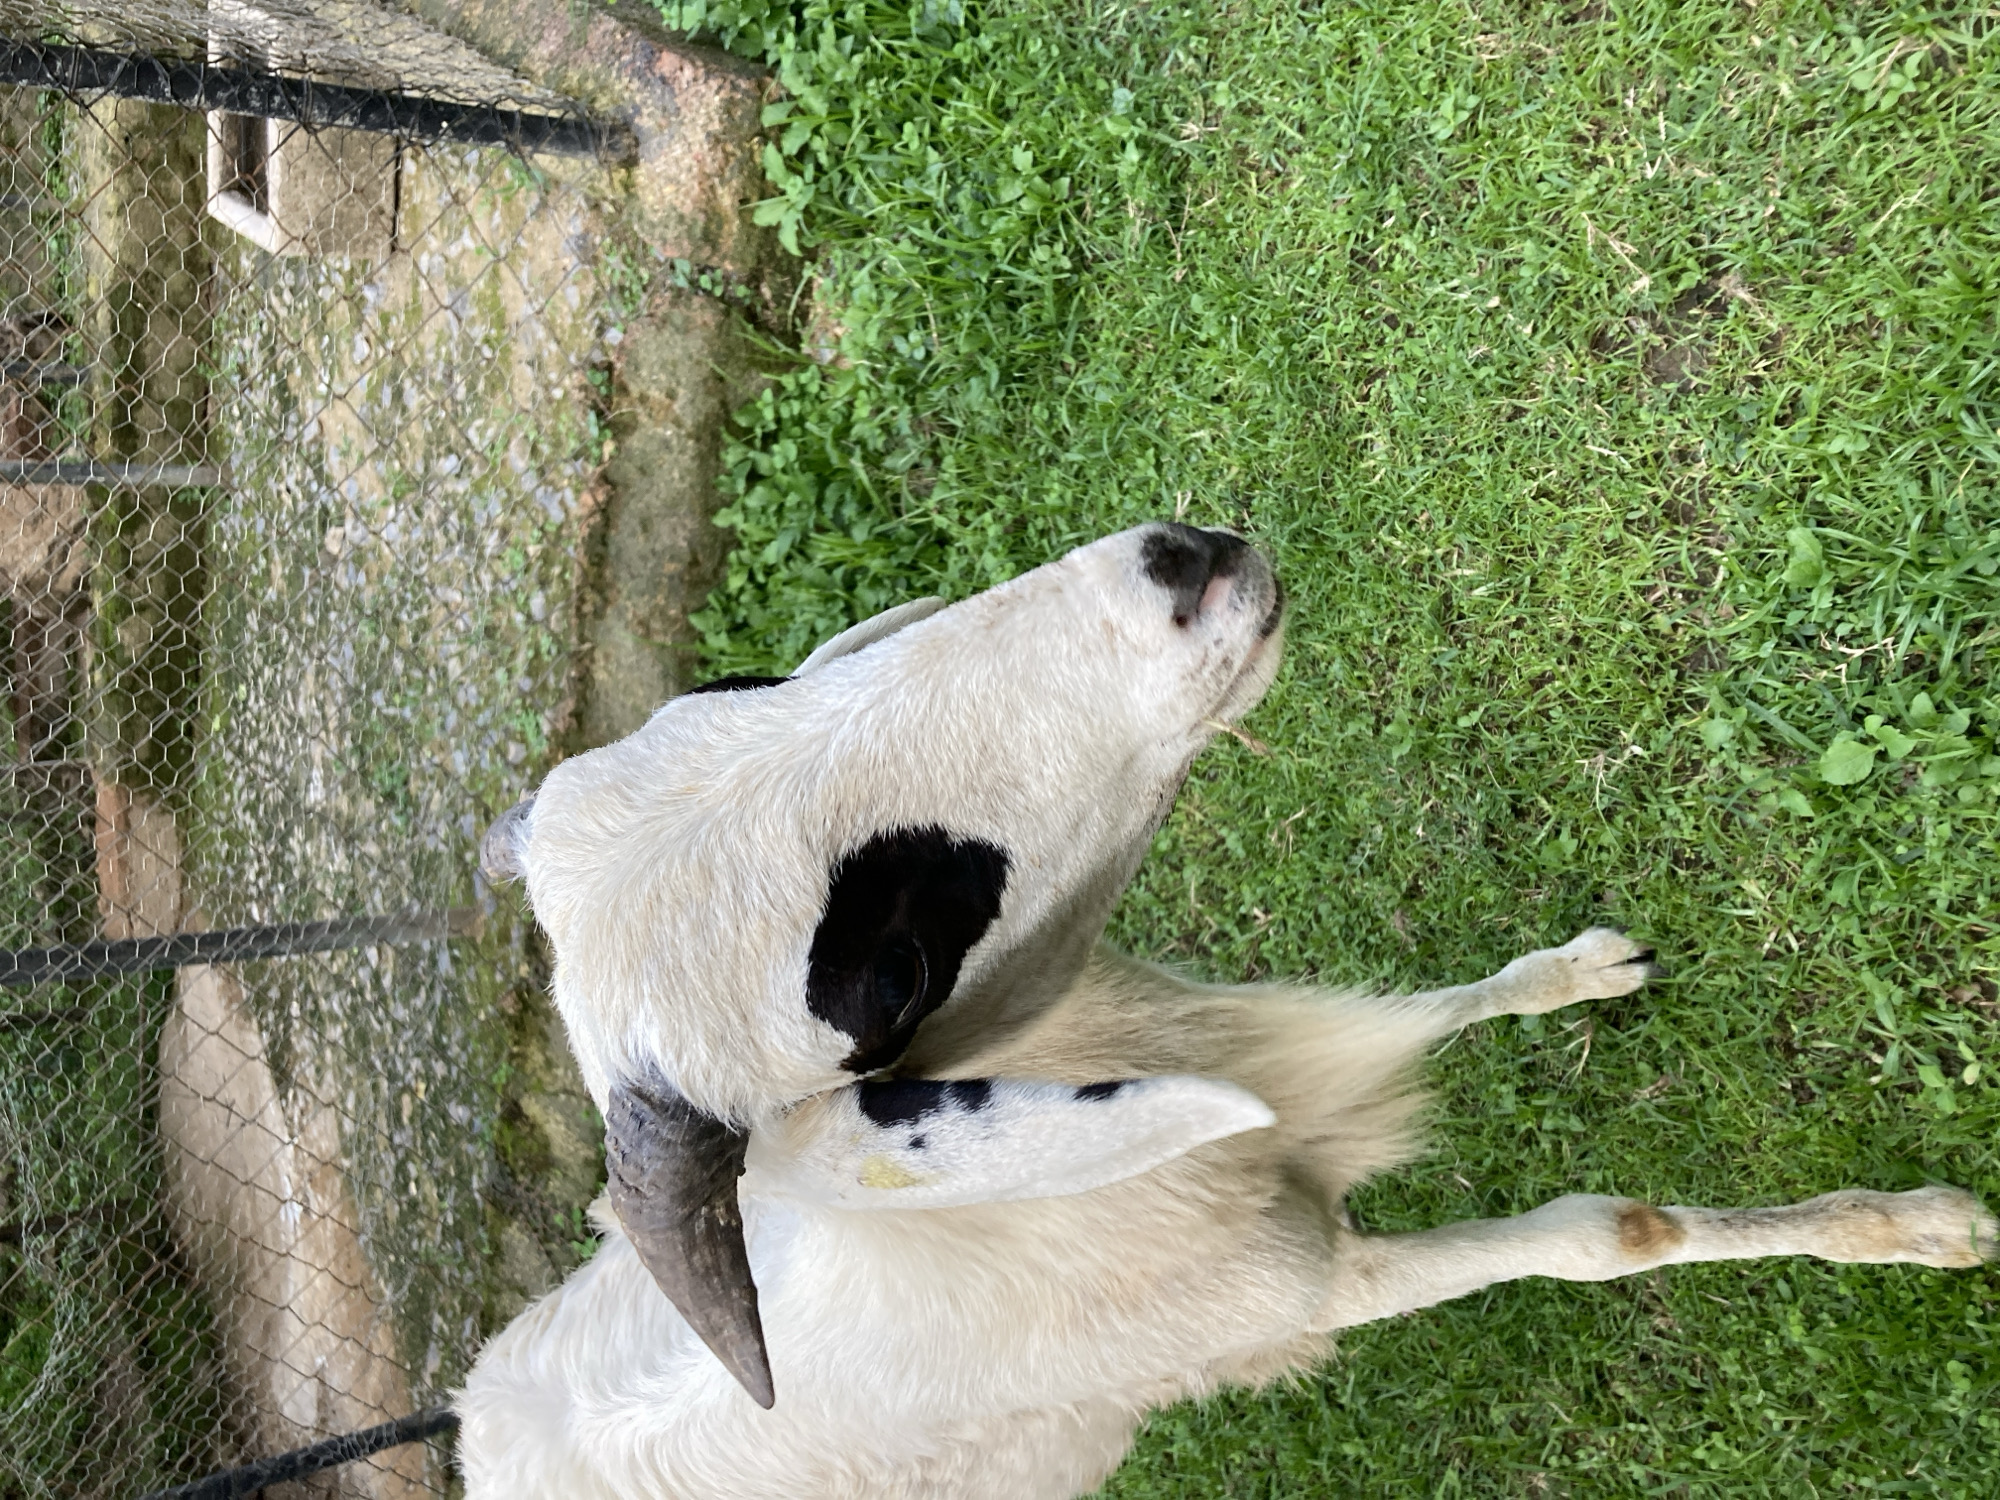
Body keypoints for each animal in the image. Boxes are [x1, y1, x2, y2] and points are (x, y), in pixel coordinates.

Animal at [458, 523, 1995, 1500]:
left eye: (746, 682)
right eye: (886, 975)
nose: (1182, 566)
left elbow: (1446, 1002)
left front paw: (1584, 970)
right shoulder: (1299, 1286)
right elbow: (1603, 1236)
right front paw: (1927, 1230)